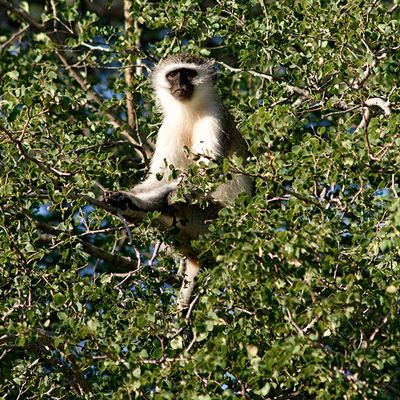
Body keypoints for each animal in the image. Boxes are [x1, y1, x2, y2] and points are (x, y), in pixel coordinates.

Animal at [104, 53, 252, 308]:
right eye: (173, 74)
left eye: (188, 73)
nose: (180, 84)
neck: (189, 111)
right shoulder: (168, 126)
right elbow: (159, 177)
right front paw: (128, 197)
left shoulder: (216, 117)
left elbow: (208, 172)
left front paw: (143, 200)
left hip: (214, 223)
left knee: (180, 201)